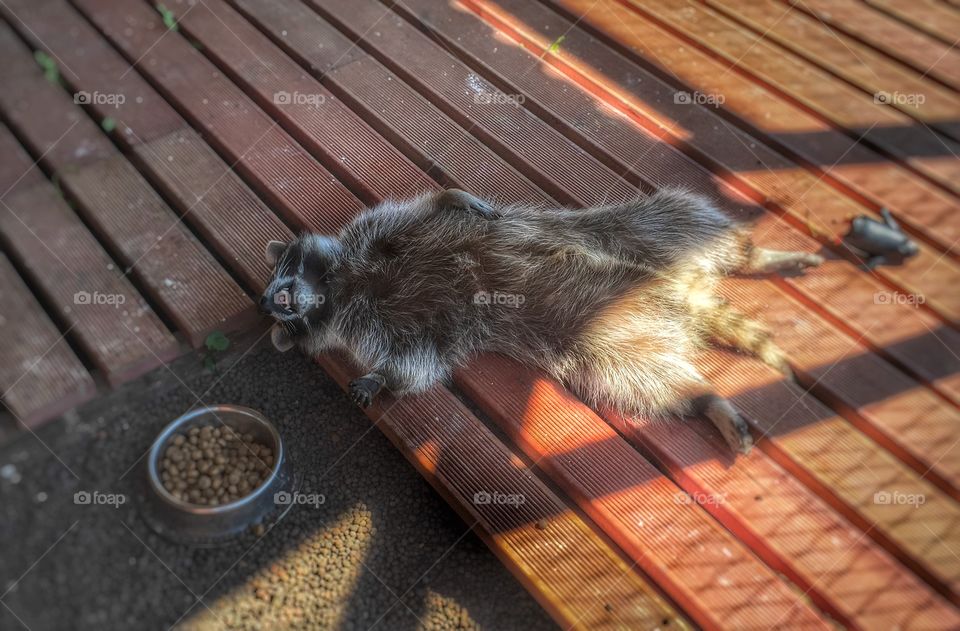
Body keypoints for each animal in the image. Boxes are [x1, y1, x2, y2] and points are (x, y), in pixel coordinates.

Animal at [260, 188, 822, 453]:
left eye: (282, 264)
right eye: (280, 321)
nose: (273, 301)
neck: (342, 287)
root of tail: (688, 292)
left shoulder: (378, 234)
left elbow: (428, 209)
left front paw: (450, 195)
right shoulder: (407, 326)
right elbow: (419, 360)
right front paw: (381, 378)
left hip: (641, 233)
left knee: (679, 218)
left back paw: (756, 256)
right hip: (607, 339)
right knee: (648, 380)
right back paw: (706, 399)